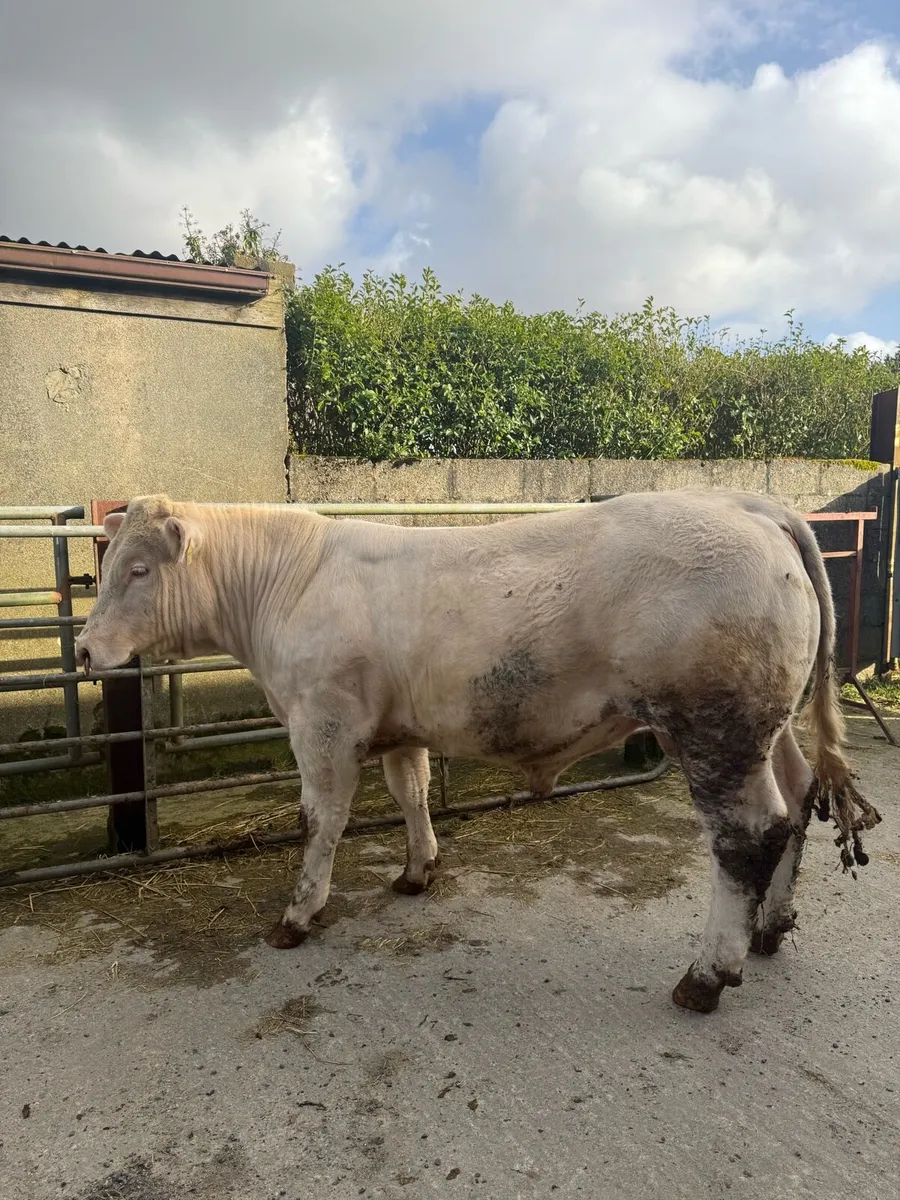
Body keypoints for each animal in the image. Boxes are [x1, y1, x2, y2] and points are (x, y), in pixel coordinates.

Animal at [74, 489, 880, 1013]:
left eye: (139, 570)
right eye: (108, 566)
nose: (81, 650)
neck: (288, 582)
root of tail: (753, 507)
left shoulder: (322, 724)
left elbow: (321, 822)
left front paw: (298, 916)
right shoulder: (397, 728)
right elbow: (411, 792)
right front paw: (417, 871)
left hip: (715, 730)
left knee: (747, 834)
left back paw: (707, 975)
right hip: (765, 727)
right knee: (797, 799)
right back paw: (771, 929)